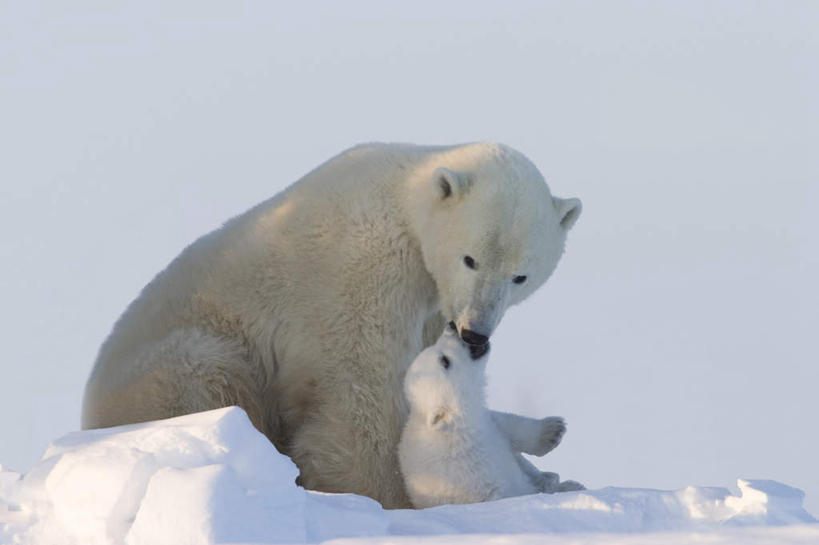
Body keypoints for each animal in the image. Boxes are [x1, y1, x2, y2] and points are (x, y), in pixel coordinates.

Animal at [398, 324, 584, 506]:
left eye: (434, 347)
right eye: (445, 361)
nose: (451, 326)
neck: (459, 429)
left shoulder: (488, 425)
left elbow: (509, 426)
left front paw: (554, 430)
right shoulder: (472, 478)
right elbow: (511, 492)